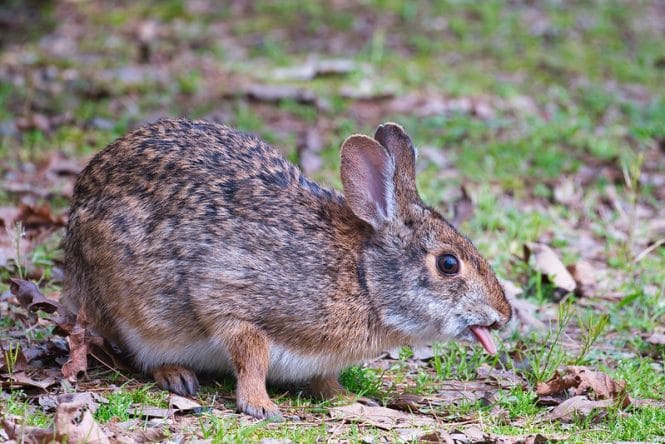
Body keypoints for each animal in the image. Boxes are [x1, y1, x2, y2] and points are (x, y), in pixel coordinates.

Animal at [62, 119, 512, 419]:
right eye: (448, 264)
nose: (504, 315)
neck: (364, 278)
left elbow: (323, 378)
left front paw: (346, 398)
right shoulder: (228, 290)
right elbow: (251, 352)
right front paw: (260, 406)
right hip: (122, 302)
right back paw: (176, 375)